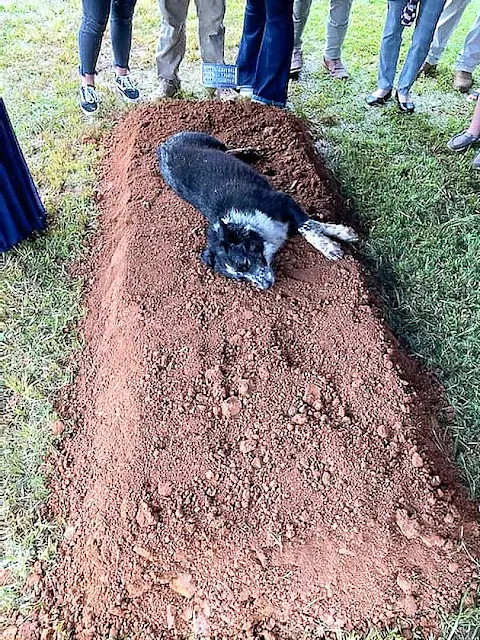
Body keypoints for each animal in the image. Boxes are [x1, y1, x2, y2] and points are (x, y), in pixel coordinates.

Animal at [158, 131, 356, 290]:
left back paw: (249, 152)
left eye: (245, 263)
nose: (265, 286)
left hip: (209, 139)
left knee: (226, 148)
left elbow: (307, 226)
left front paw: (330, 246)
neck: (248, 226)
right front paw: (341, 234)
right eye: (240, 278)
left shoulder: (283, 200)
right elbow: (312, 224)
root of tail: (163, 145)